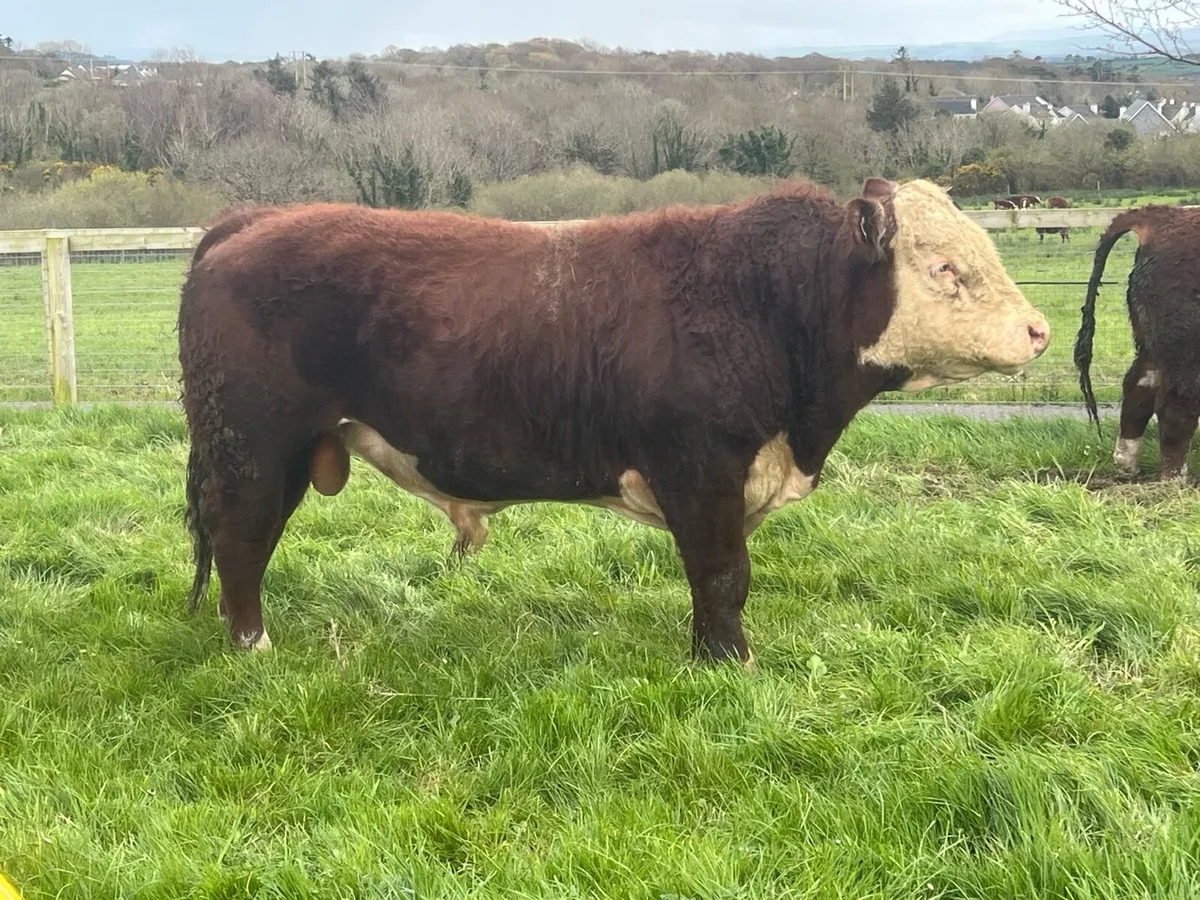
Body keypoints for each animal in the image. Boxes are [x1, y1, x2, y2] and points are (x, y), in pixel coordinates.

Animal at [178, 177, 1051, 666]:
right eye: (945, 268)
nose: (1039, 330)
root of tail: (253, 220)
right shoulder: (700, 468)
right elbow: (723, 574)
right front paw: (729, 663)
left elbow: (720, 578)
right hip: (256, 446)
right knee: (241, 539)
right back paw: (254, 647)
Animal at [1076, 204, 1200, 481]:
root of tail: (1163, 217)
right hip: (1185, 349)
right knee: (1174, 404)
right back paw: (1174, 478)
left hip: (1151, 343)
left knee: (1138, 386)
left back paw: (1127, 463)